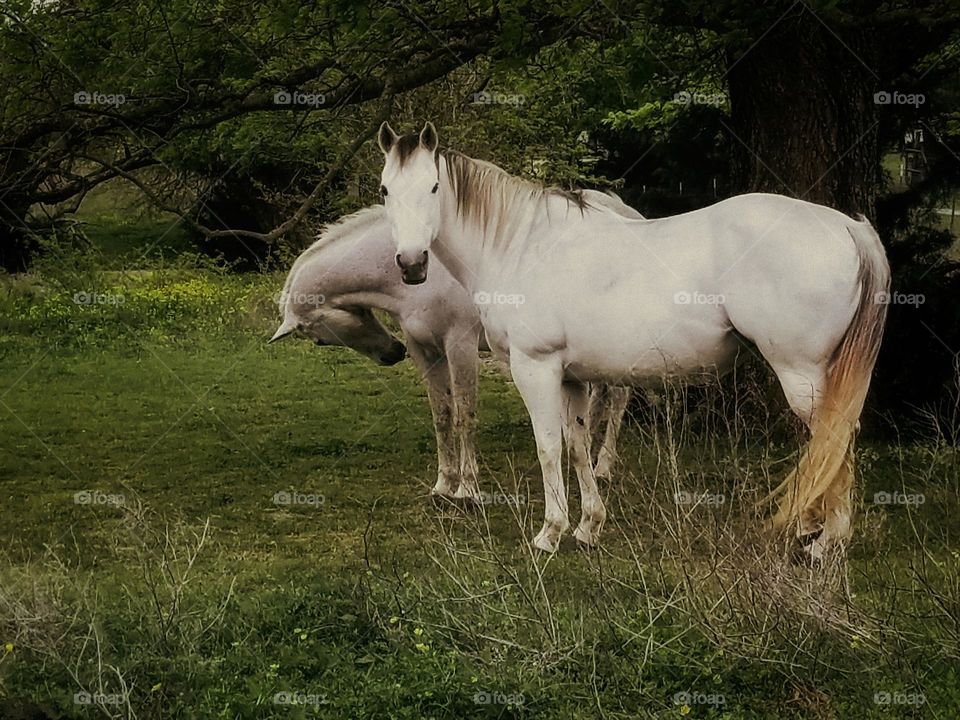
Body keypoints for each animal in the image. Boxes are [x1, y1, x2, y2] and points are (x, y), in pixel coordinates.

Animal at [270, 200, 640, 504]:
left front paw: (468, 488)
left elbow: (465, 413)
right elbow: (442, 414)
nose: (393, 352)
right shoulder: (424, 349)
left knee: (619, 398)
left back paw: (604, 466)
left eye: (319, 339)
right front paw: (443, 485)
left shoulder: (459, 345)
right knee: (599, 397)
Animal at [376, 122, 892, 556]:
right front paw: (587, 527)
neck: (521, 245)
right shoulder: (571, 378)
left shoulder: (534, 368)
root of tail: (848, 227)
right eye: (384, 189)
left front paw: (549, 533)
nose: (411, 264)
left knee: (834, 438)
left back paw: (826, 543)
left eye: (434, 187)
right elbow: (577, 446)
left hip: (801, 375)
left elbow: (548, 447)